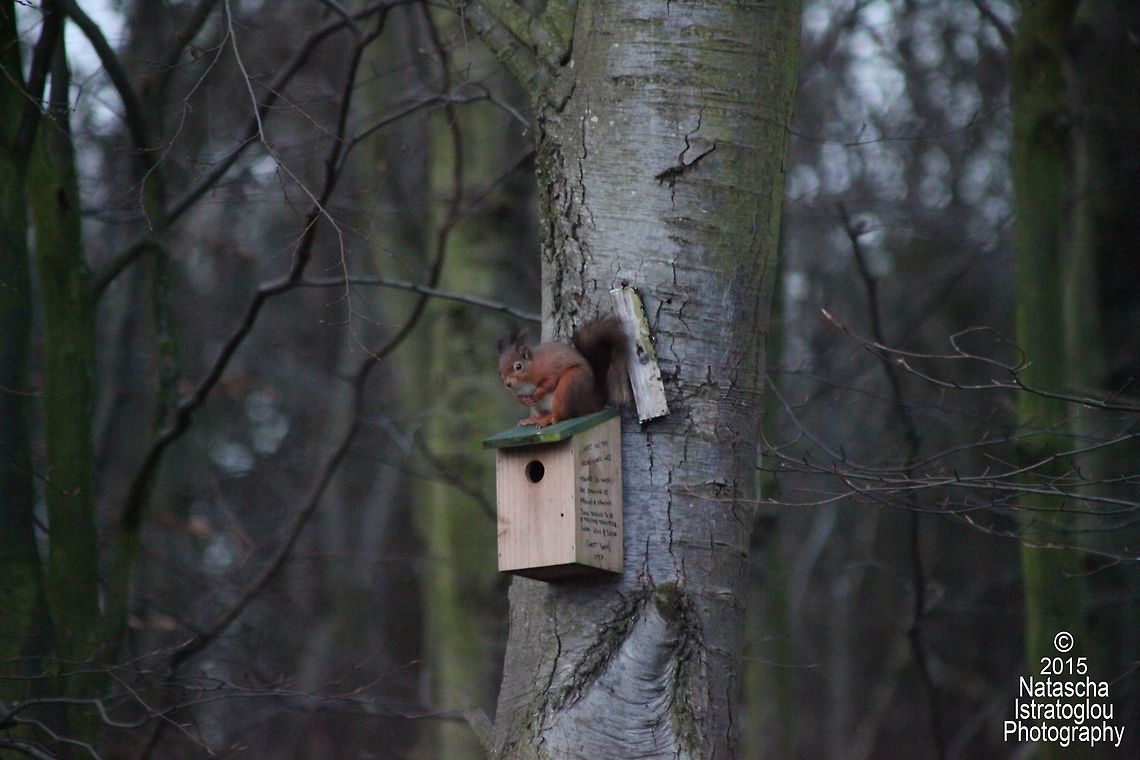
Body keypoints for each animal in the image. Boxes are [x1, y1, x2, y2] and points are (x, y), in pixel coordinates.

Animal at [497, 316, 632, 427]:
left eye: (518, 366)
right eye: (499, 371)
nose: (507, 384)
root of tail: (593, 402)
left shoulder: (549, 369)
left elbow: (549, 383)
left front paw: (536, 394)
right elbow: (518, 396)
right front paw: (524, 400)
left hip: (569, 384)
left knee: (562, 415)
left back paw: (548, 419)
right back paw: (534, 419)